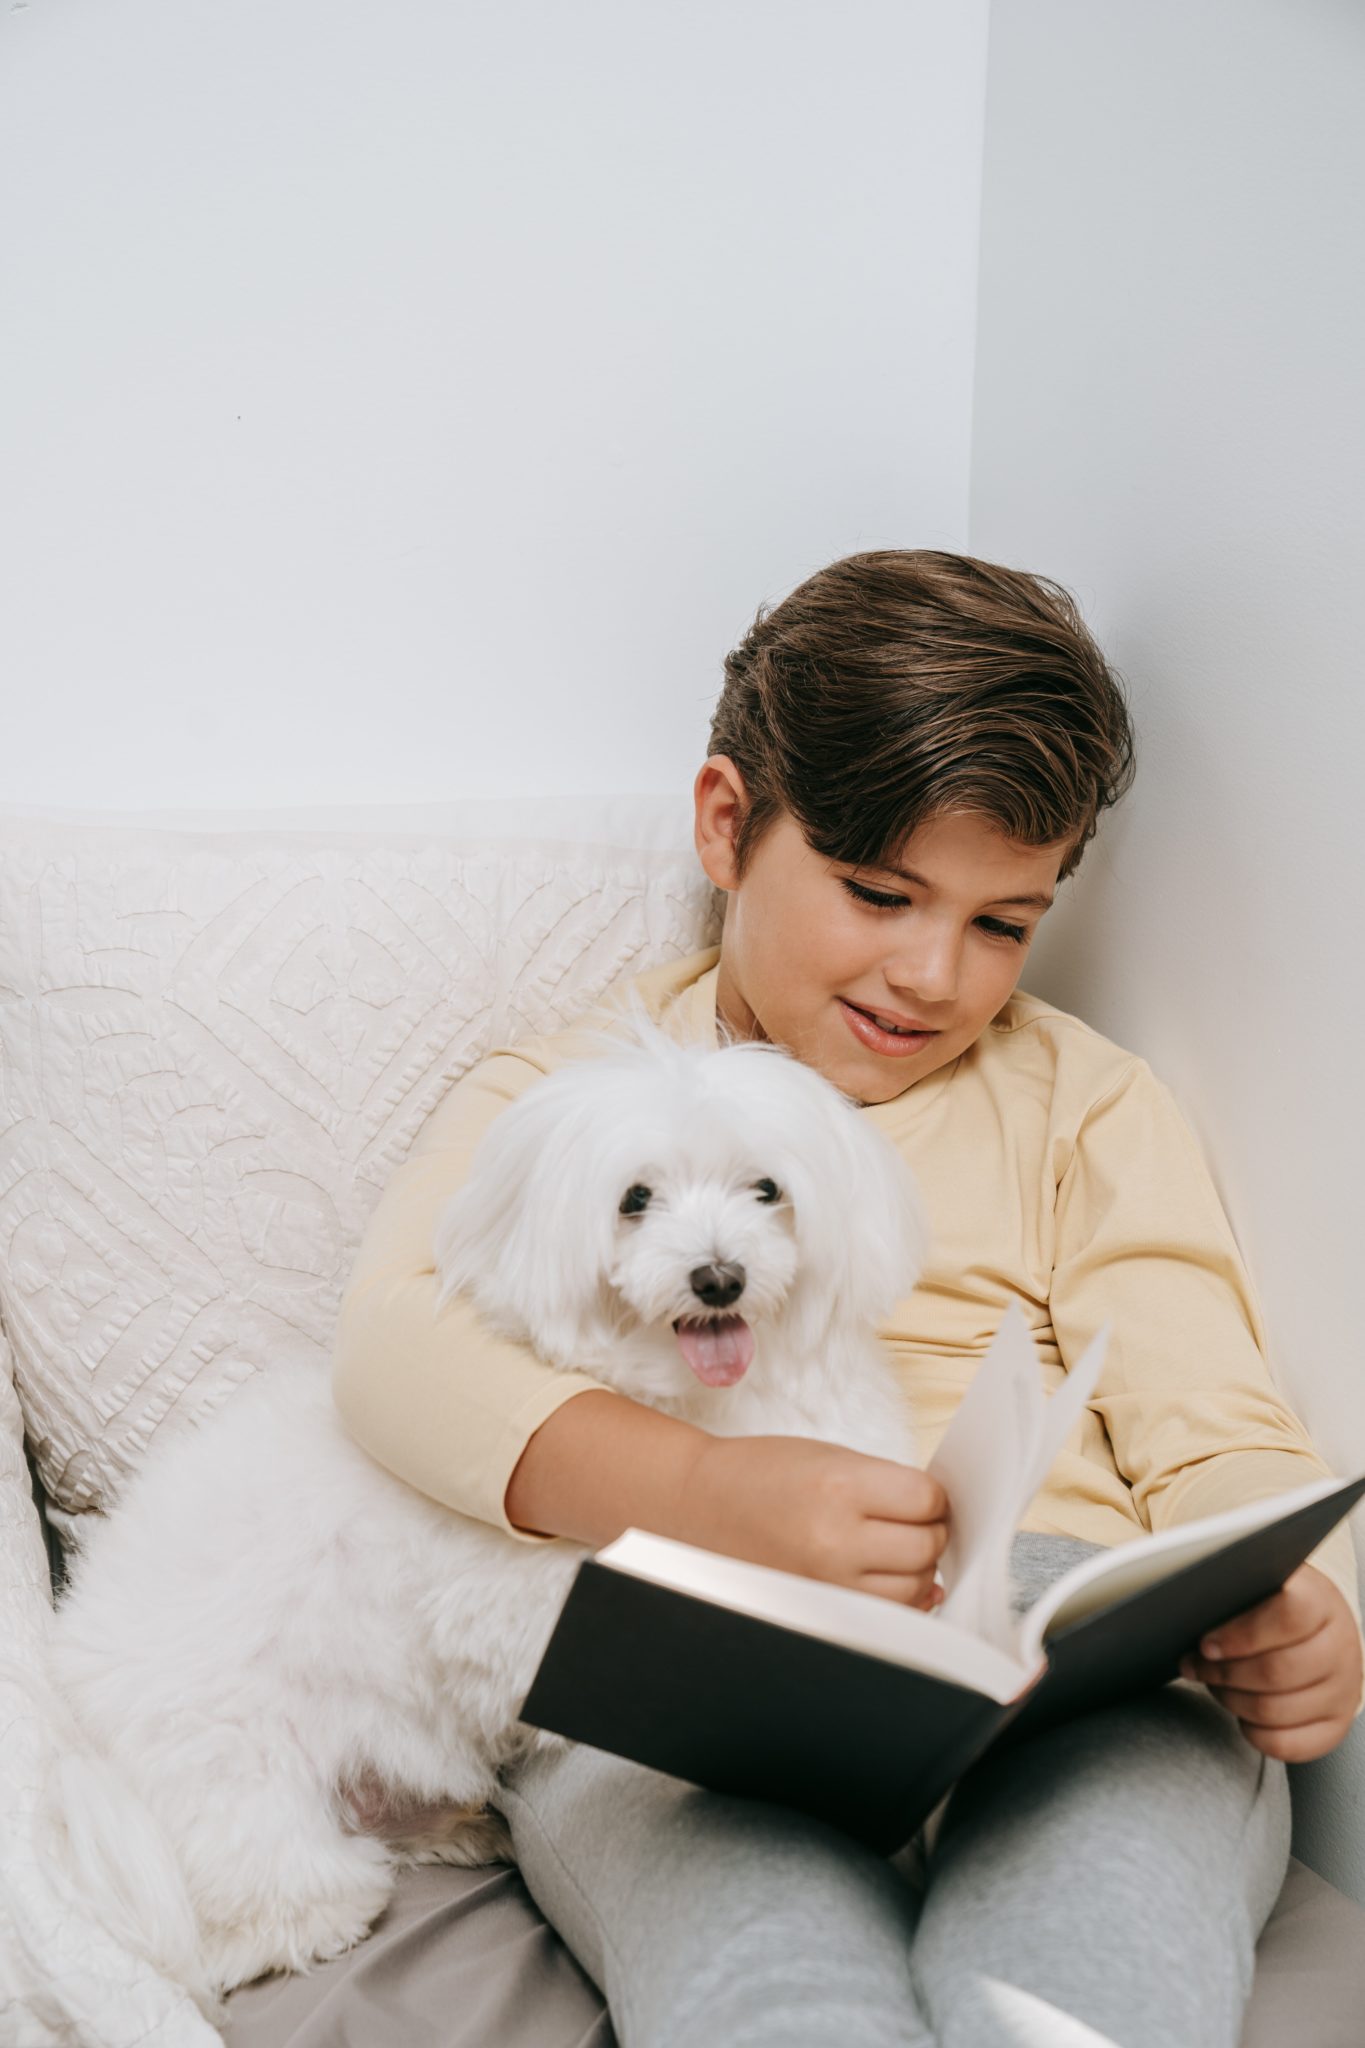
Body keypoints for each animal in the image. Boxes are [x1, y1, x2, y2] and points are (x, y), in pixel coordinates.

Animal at [50, 1007, 929, 2015]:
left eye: (766, 1190)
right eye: (634, 1199)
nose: (718, 1278)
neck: (692, 1405)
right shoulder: (518, 1608)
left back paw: (461, 1826)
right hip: (232, 1768)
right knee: (259, 1902)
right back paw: (313, 1917)